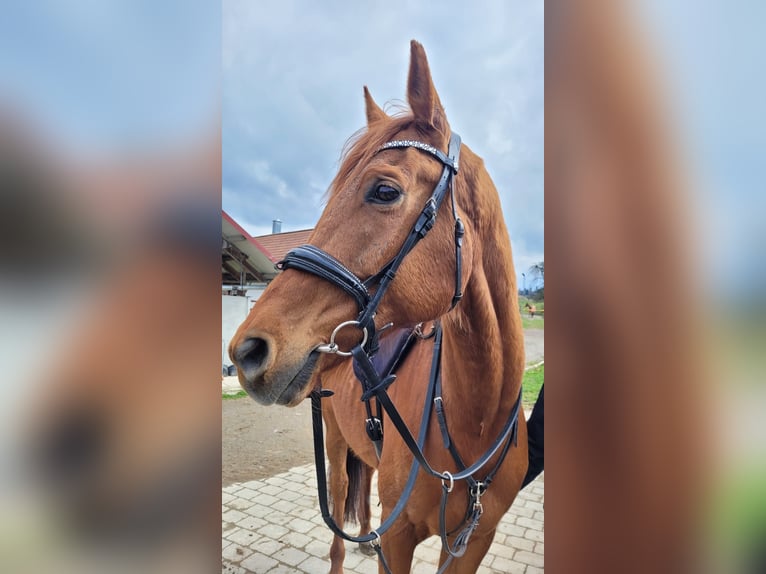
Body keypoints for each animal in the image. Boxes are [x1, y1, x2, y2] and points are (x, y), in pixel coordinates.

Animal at [230, 40, 528, 573]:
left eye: (384, 191)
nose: (247, 351)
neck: (476, 417)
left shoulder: (474, 541)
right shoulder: (400, 536)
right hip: (332, 441)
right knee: (342, 498)